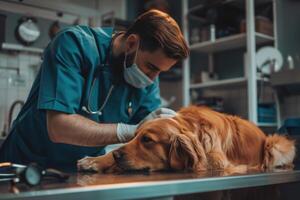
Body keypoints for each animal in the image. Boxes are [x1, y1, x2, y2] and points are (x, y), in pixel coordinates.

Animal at [77, 106, 296, 173]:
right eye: (135, 136)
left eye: (147, 140)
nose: (116, 155)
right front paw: (96, 160)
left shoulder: (217, 160)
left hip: (275, 144)